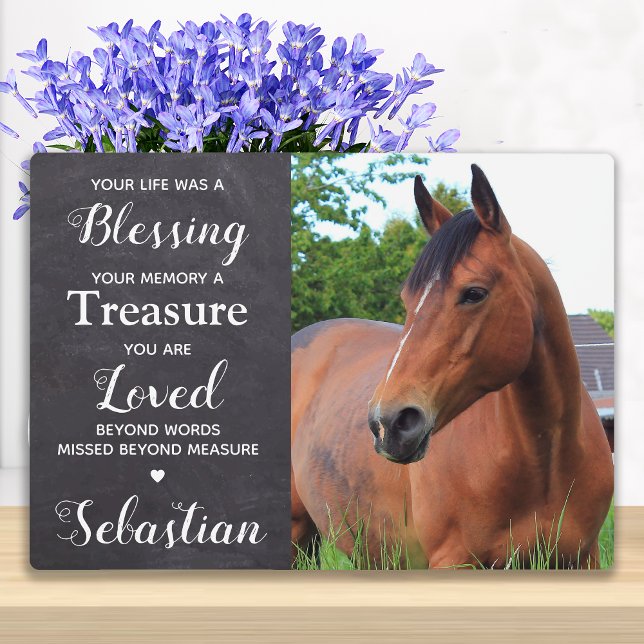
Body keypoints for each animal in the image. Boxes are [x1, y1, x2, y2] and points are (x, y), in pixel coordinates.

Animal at [291, 164, 614, 569]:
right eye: (407, 298)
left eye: (474, 293)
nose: (388, 424)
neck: (544, 460)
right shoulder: (454, 560)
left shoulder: (582, 558)